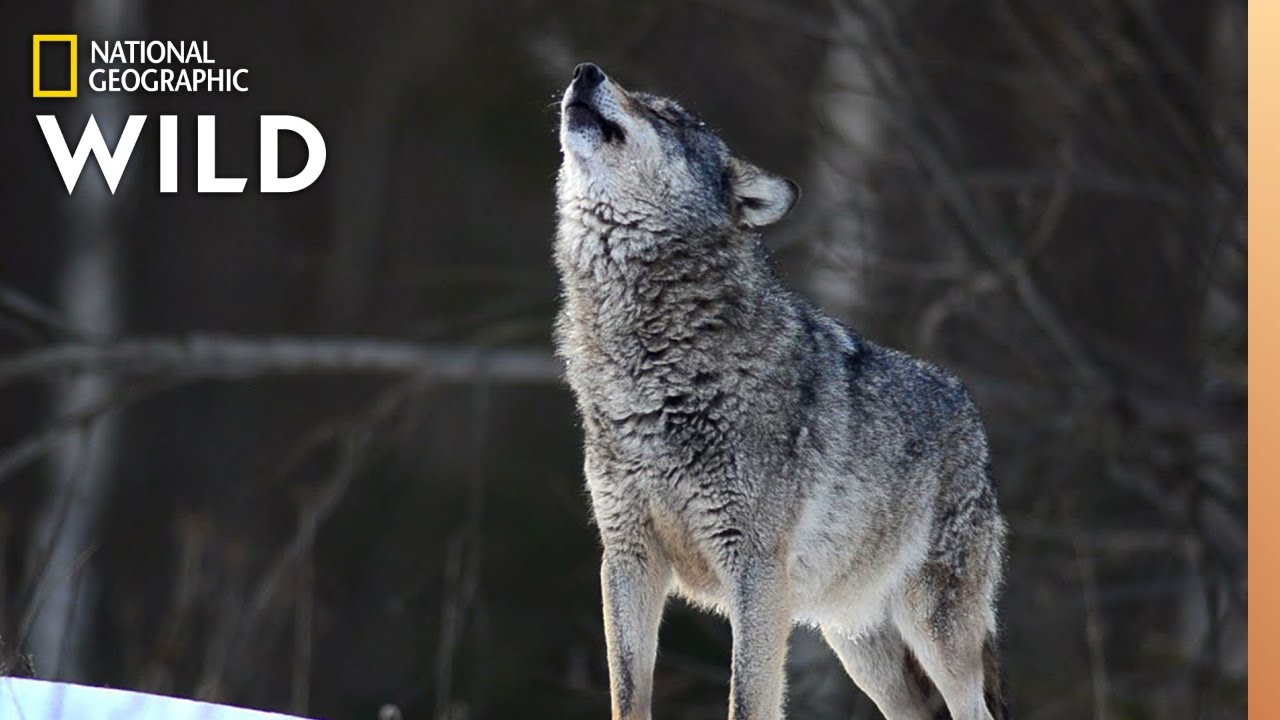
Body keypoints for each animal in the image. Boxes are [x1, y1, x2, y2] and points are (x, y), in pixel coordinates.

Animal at [552, 62, 1008, 720]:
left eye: (666, 114)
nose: (586, 72)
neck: (651, 370)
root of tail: (971, 414)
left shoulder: (757, 570)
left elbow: (747, 698)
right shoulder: (627, 559)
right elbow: (627, 695)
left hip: (936, 630)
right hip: (861, 649)